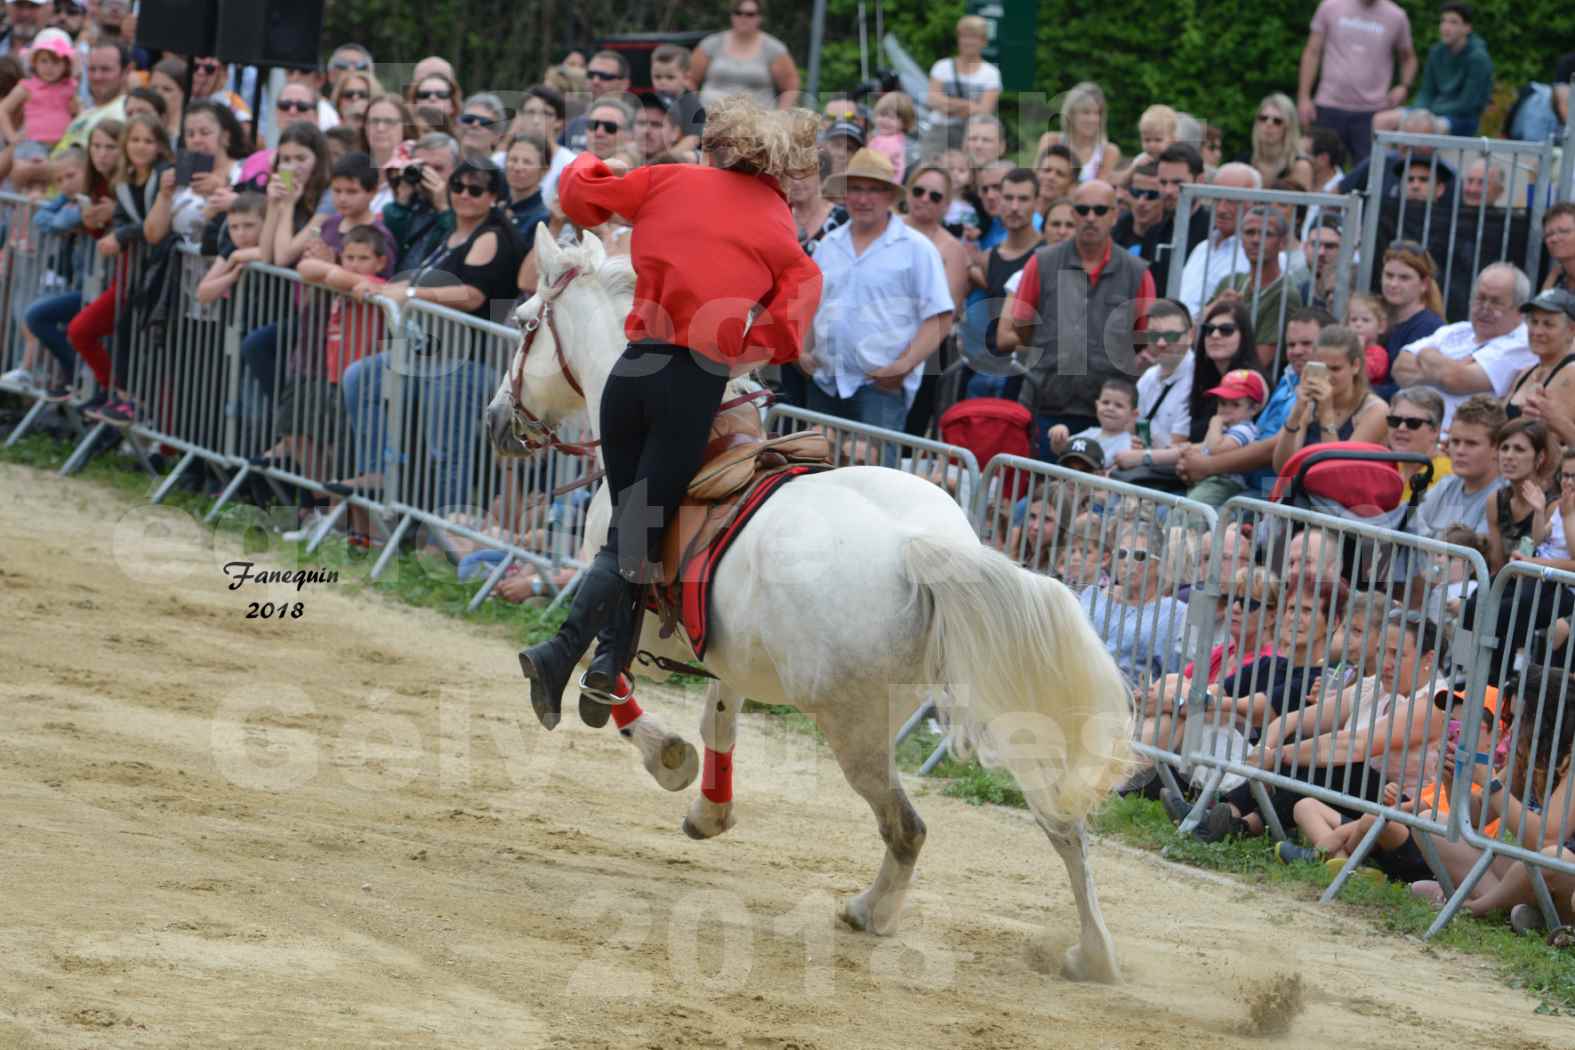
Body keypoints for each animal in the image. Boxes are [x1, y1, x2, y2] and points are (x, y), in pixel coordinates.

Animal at [485, 229, 1140, 988]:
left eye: (524, 320)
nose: (497, 421)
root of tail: (918, 548)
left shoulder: (636, 623)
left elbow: (608, 677)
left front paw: (663, 757)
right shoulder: (726, 659)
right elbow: (717, 720)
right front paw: (709, 811)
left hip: (854, 726)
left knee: (907, 827)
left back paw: (869, 912)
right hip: (1000, 703)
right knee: (1062, 824)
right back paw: (1091, 952)